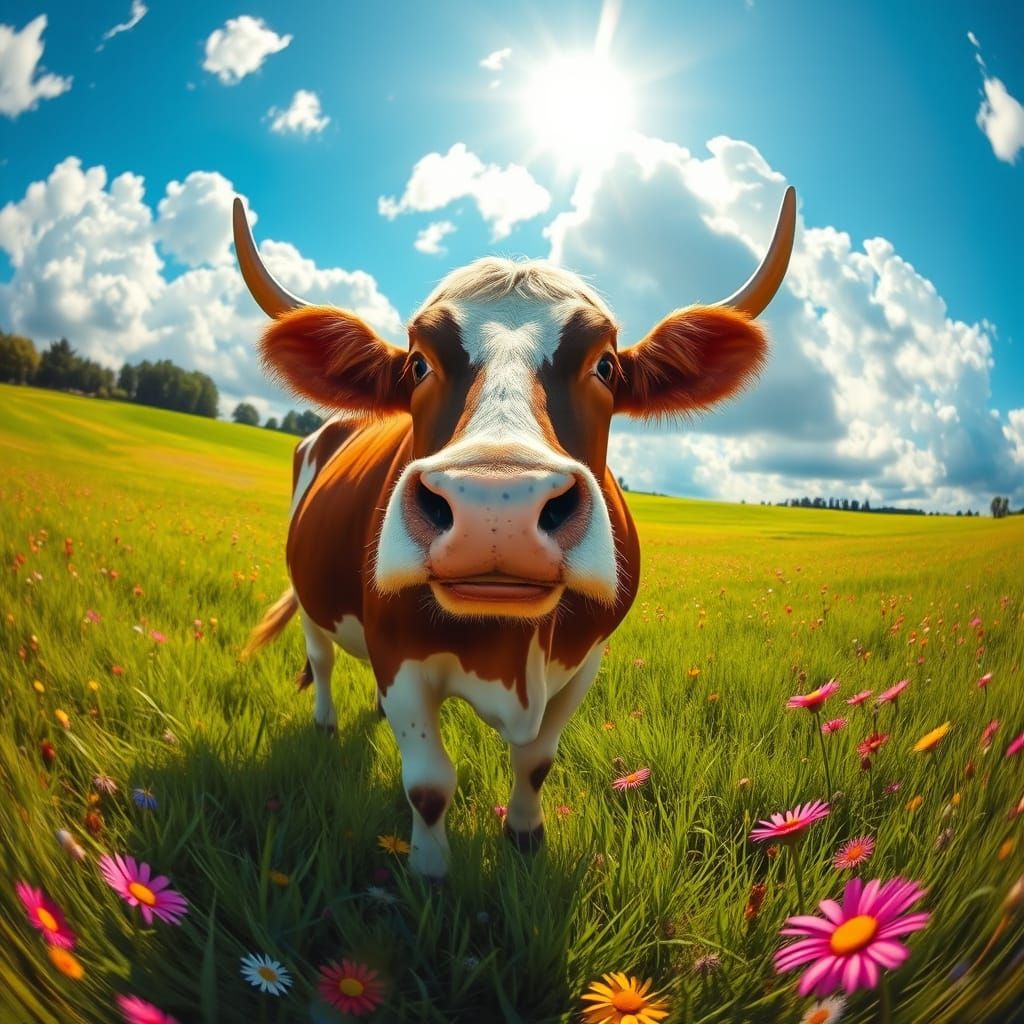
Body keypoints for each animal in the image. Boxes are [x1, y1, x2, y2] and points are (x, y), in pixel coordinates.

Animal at [235, 188, 795, 877]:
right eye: (418, 364)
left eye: (606, 366)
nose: (494, 504)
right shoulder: (400, 658)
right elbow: (429, 783)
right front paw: (430, 871)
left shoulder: (582, 664)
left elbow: (535, 762)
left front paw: (525, 837)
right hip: (314, 596)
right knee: (320, 659)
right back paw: (326, 725)